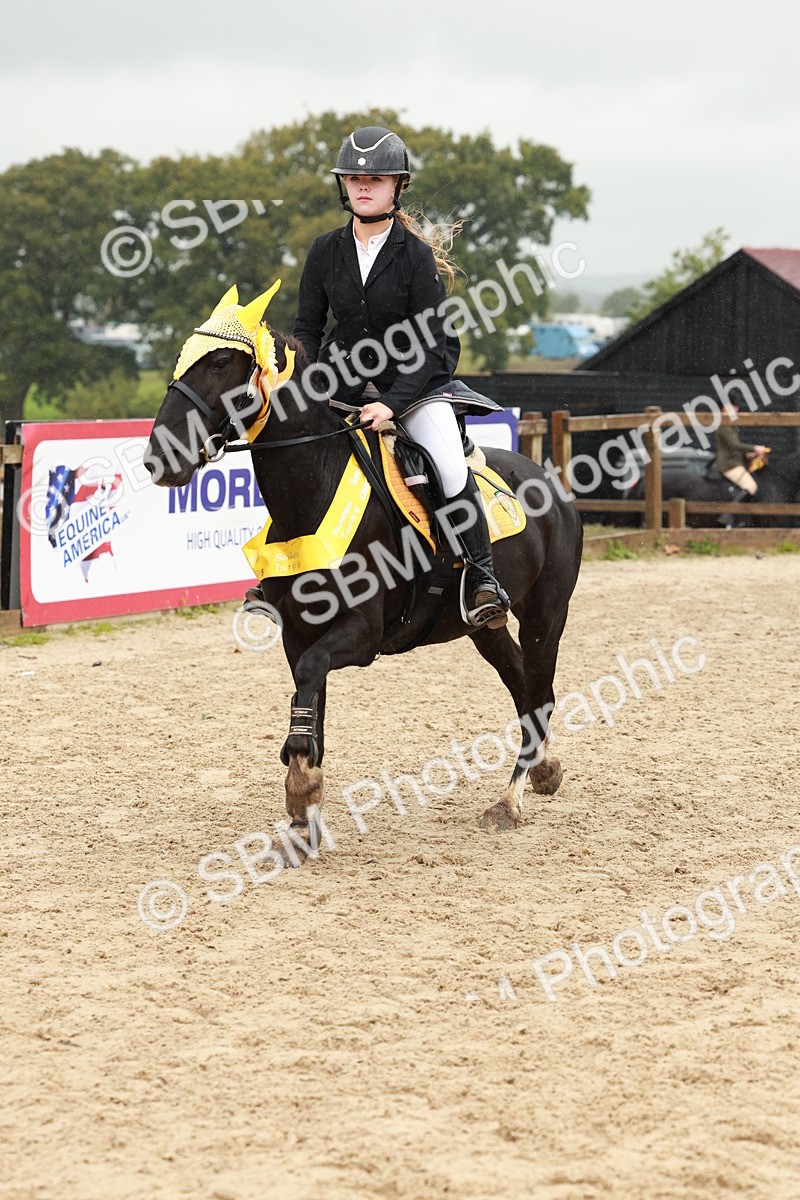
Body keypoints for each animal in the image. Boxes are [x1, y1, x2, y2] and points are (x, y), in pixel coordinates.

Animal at [143, 286, 583, 856]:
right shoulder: (298, 634)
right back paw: (543, 772)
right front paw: (302, 819)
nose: (159, 456)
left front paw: (301, 787)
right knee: (522, 684)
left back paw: (510, 802)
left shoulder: (362, 633)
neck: (313, 489)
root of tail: (551, 482)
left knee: (541, 692)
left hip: (546, 616)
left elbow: (310, 685)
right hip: (480, 626)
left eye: (220, 363)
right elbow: (310, 705)